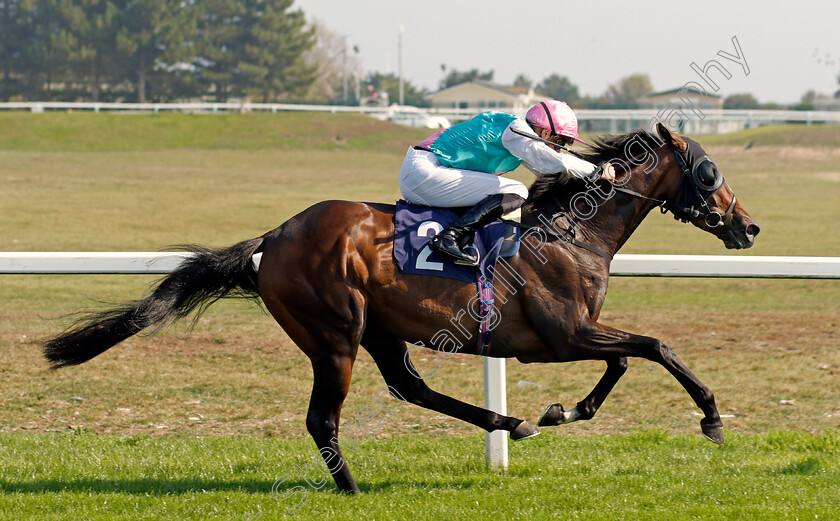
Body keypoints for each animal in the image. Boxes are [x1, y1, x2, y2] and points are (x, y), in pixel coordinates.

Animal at [42, 122, 756, 492]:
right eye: (710, 171)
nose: (747, 227)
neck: (572, 231)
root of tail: (272, 240)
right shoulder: (562, 335)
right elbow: (655, 348)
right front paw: (712, 419)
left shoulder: (576, 332)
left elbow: (631, 360)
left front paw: (563, 410)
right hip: (334, 333)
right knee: (322, 417)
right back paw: (351, 488)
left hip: (378, 329)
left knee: (409, 387)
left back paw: (509, 424)